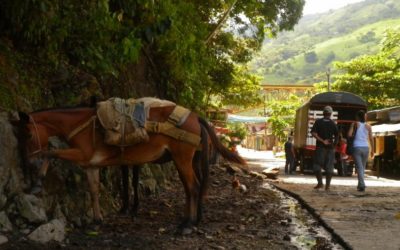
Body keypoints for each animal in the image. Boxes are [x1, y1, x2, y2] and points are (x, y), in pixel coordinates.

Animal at [15, 100, 245, 232]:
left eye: (28, 134)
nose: (28, 161)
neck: (80, 125)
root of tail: (196, 117)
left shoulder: (81, 154)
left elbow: (49, 152)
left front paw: (37, 182)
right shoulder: (90, 164)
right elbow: (94, 190)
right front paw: (96, 220)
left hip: (182, 158)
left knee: (193, 186)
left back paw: (187, 224)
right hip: (189, 159)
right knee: (193, 187)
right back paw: (192, 219)